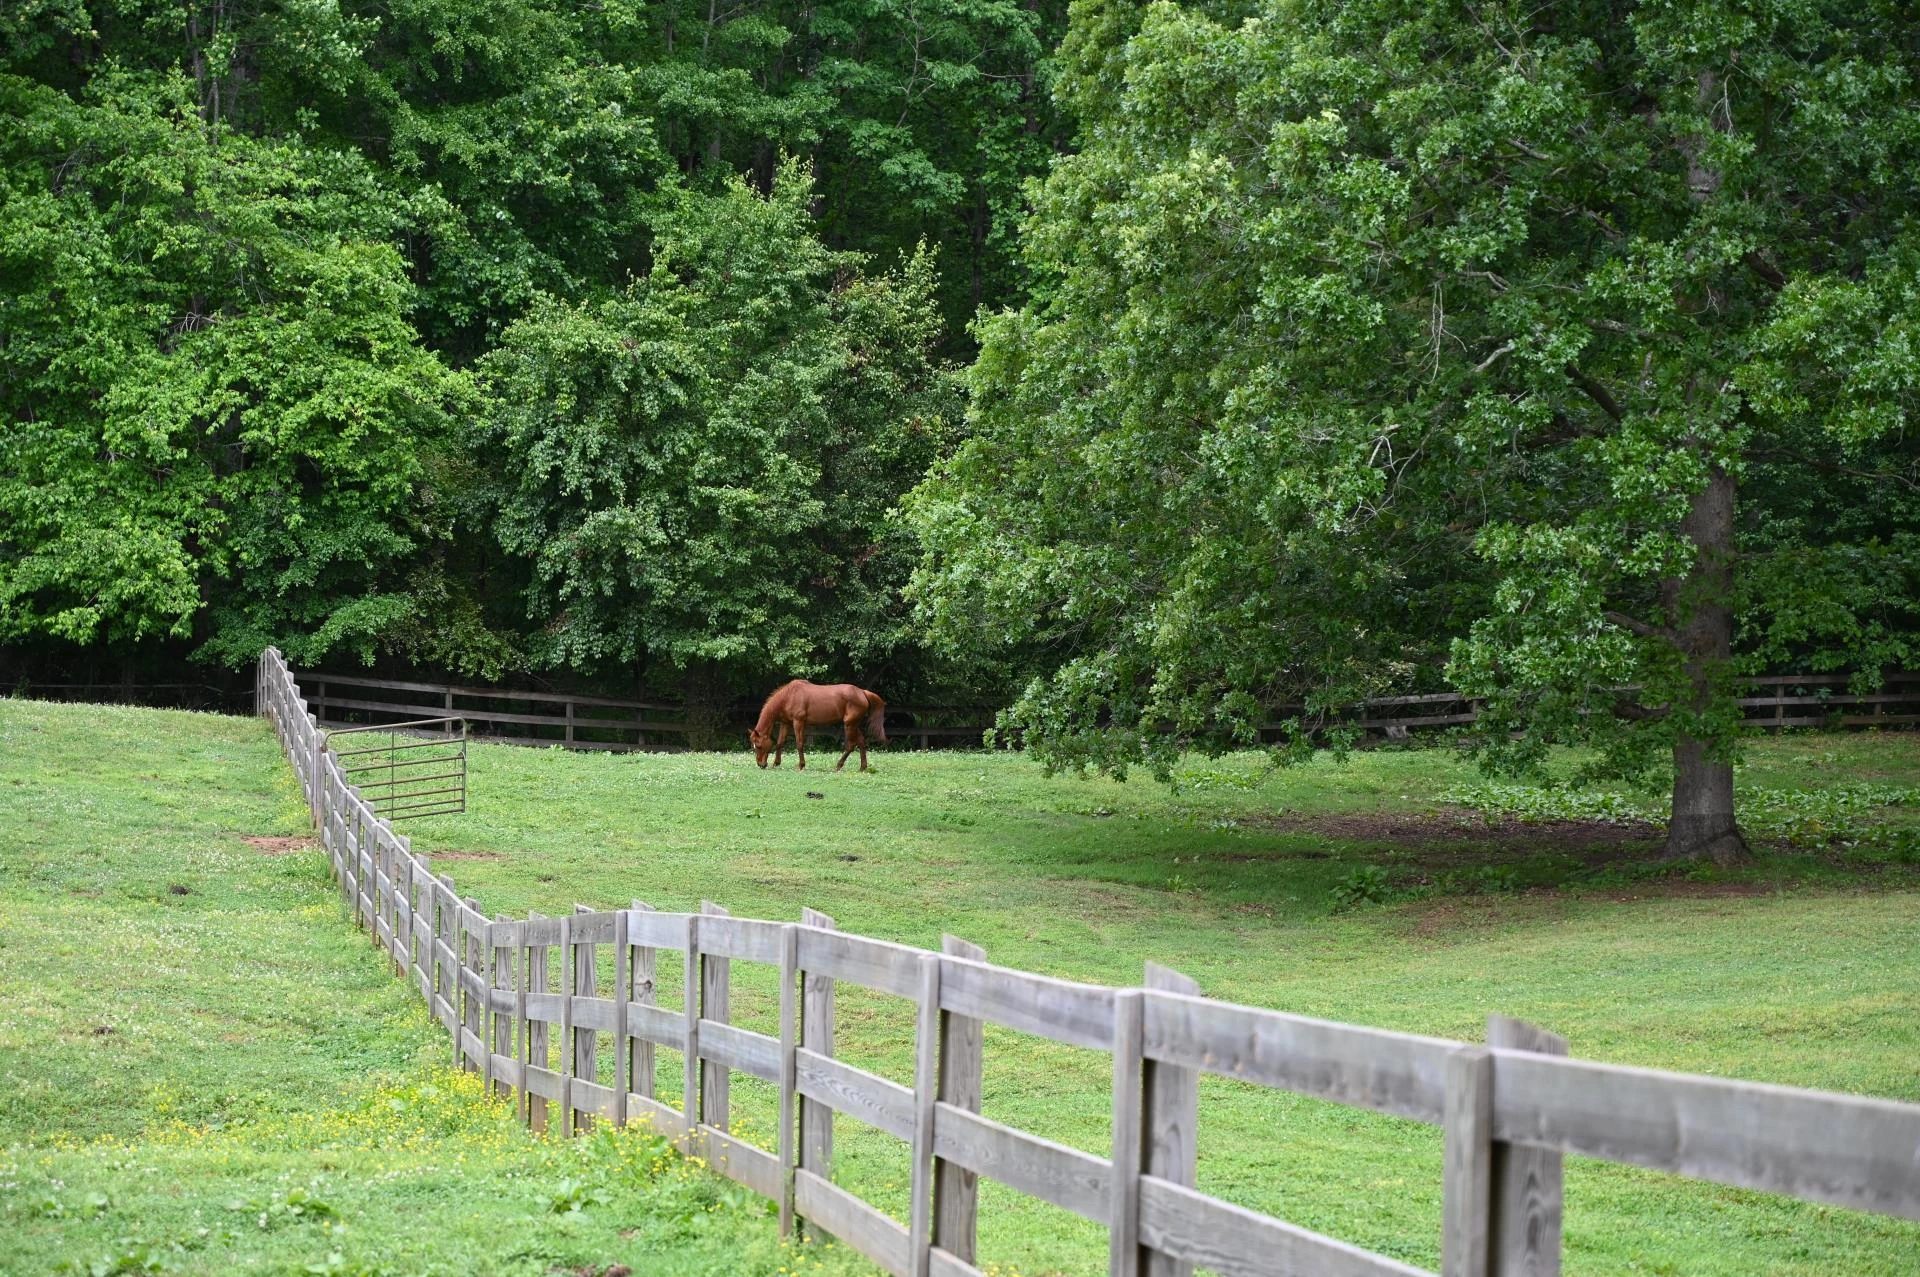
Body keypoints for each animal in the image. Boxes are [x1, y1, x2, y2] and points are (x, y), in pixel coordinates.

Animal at [748, 680, 887, 772]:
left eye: (758, 745)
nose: (761, 764)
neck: (788, 696)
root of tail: (862, 692)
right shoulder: (785, 723)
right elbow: (779, 743)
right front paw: (776, 763)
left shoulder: (798, 722)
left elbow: (799, 744)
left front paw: (801, 765)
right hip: (854, 724)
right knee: (862, 743)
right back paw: (862, 767)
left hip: (849, 725)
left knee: (851, 745)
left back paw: (838, 766)